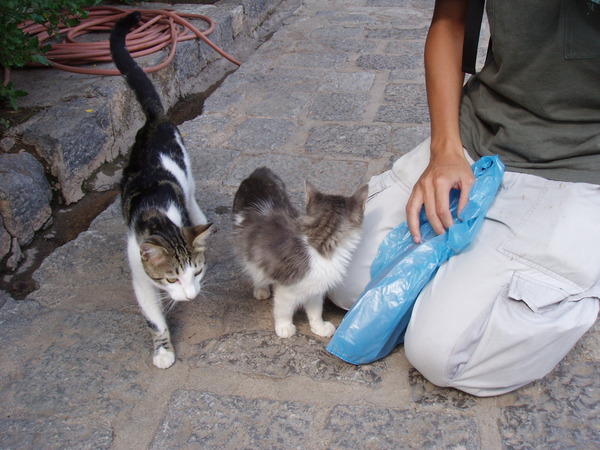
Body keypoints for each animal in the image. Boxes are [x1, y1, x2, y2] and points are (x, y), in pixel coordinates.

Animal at [110, 11, 211, 370]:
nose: (192, 295)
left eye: (197, 272)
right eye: (171, 279)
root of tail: (154, 119)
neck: (158, 216)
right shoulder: (140, 277)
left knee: (192, 198)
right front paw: (163, 350)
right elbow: (153, 317)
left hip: (188, 173)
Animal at [232, 168, 368, 338]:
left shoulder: (316, 288)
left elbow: (316, 310)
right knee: (254, 265)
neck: (319, 243)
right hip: (246, 246)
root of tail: (258, 173)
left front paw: (319, 326)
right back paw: (261, 287)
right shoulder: (287, 288)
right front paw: (284, 327)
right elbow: (284, 309)